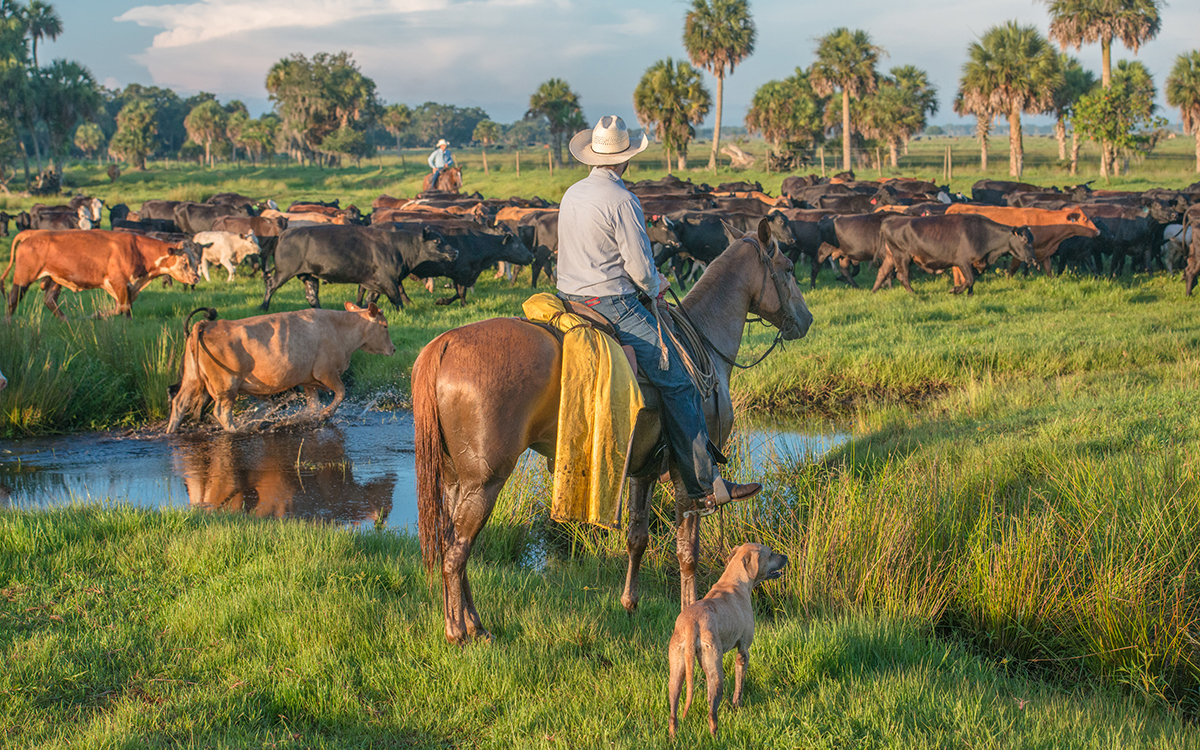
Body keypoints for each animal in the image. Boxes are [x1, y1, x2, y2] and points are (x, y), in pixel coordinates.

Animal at [1, 230, 201, 319]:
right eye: (185, 261)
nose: (196, 278)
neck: (137, 250)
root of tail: (33, 233)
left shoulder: (129, 287)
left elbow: (126, 308)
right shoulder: (118, 282)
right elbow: (122, 308)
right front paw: (96, 315)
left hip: (55, 278)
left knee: (50, 299)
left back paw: (67, 321)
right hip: (23, 277)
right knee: (12, 300)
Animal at [166, 303, 395, 433]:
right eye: (385, 326)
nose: (393, 349)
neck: (340, 328)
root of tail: (208, 324)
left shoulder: (308, 380)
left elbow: (313, 405)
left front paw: (311, 417)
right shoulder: (326, 372)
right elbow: (340, 393)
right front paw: (325, 415)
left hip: (192, 379)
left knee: (179, 403)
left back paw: (170, 432)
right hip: (226, 385)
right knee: (222, 412)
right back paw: (237, 431)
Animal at [262, 224, 457, 311]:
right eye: (437, 241)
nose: (455, 251)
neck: (399, 248)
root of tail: (286, 232)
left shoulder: (374, 283)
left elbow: (371, 300)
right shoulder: (388, 280)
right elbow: (397, 300)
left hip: (309, 275)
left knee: (311, 296)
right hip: (284, 271)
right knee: (270, 285)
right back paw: (263, 307)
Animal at [874, 214, 1036, 295]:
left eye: (1032, 239)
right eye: (1024, 239)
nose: (1032, 259)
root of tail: (889, 220)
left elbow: (970, 281)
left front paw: (969, 295)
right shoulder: (962, 262)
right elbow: (969, 280)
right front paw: (955, 290)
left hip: (892, 257)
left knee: (882, 272)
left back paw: (874, 291)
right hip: (902, 257)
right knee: (902, 277)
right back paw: (915, 294)